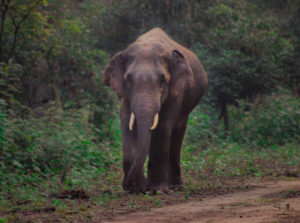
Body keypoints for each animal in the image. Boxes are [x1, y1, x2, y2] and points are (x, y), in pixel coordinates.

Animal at [103, 27, 206, 193]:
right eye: (128, 79)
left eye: (162, 80)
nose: (126, 185)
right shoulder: (125, 97)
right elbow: (127, 125)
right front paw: (135, 189)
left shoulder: (175, 93)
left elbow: (162, 127)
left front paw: (155, 190)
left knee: (177, 137)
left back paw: (175, 186)